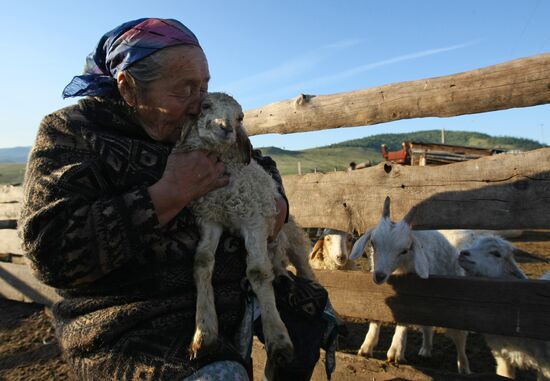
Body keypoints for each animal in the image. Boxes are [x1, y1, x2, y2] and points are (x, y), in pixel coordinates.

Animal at [175, 92, 316, 366]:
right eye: (205, 105)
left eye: (240, 117)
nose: (226, 128)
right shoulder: (210, 219)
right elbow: (202, 261)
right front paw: (204, 332)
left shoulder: (254, 220)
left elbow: (258, 272)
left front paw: (278, 338)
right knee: (277, 265)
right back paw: (281, 276)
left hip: (292, 235)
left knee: (303, 267)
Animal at [352, 196, 472, 374]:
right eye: (372, 243)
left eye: (404, 250)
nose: (379, 276)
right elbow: (377, 315)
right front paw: (367, 346)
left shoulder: (409, 292)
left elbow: (404, 318)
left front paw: (395, 351)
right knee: (427, 326)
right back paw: (426, 350)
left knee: (460, 337)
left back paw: (463, 367)